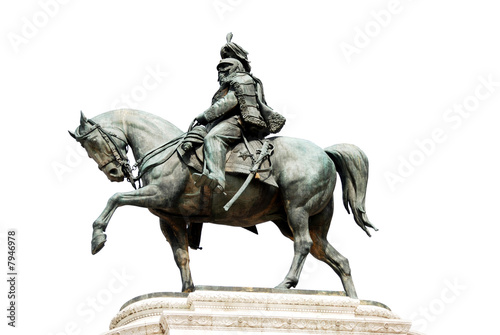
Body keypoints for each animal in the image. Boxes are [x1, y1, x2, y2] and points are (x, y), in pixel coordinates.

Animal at [69, 109, 376, 298]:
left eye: (94, 143)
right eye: (87, 149)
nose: (113, 173)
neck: (167, 151)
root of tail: (324, 152)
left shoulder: (158, 194)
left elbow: (115, 199)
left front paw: (97, 238)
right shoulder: (170, 218)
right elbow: (181, 255)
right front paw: (187, 290)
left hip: (297, 210)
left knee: (303, 245)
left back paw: (284, 284)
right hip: (304, 221)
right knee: (336, 258)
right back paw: (353, 300)